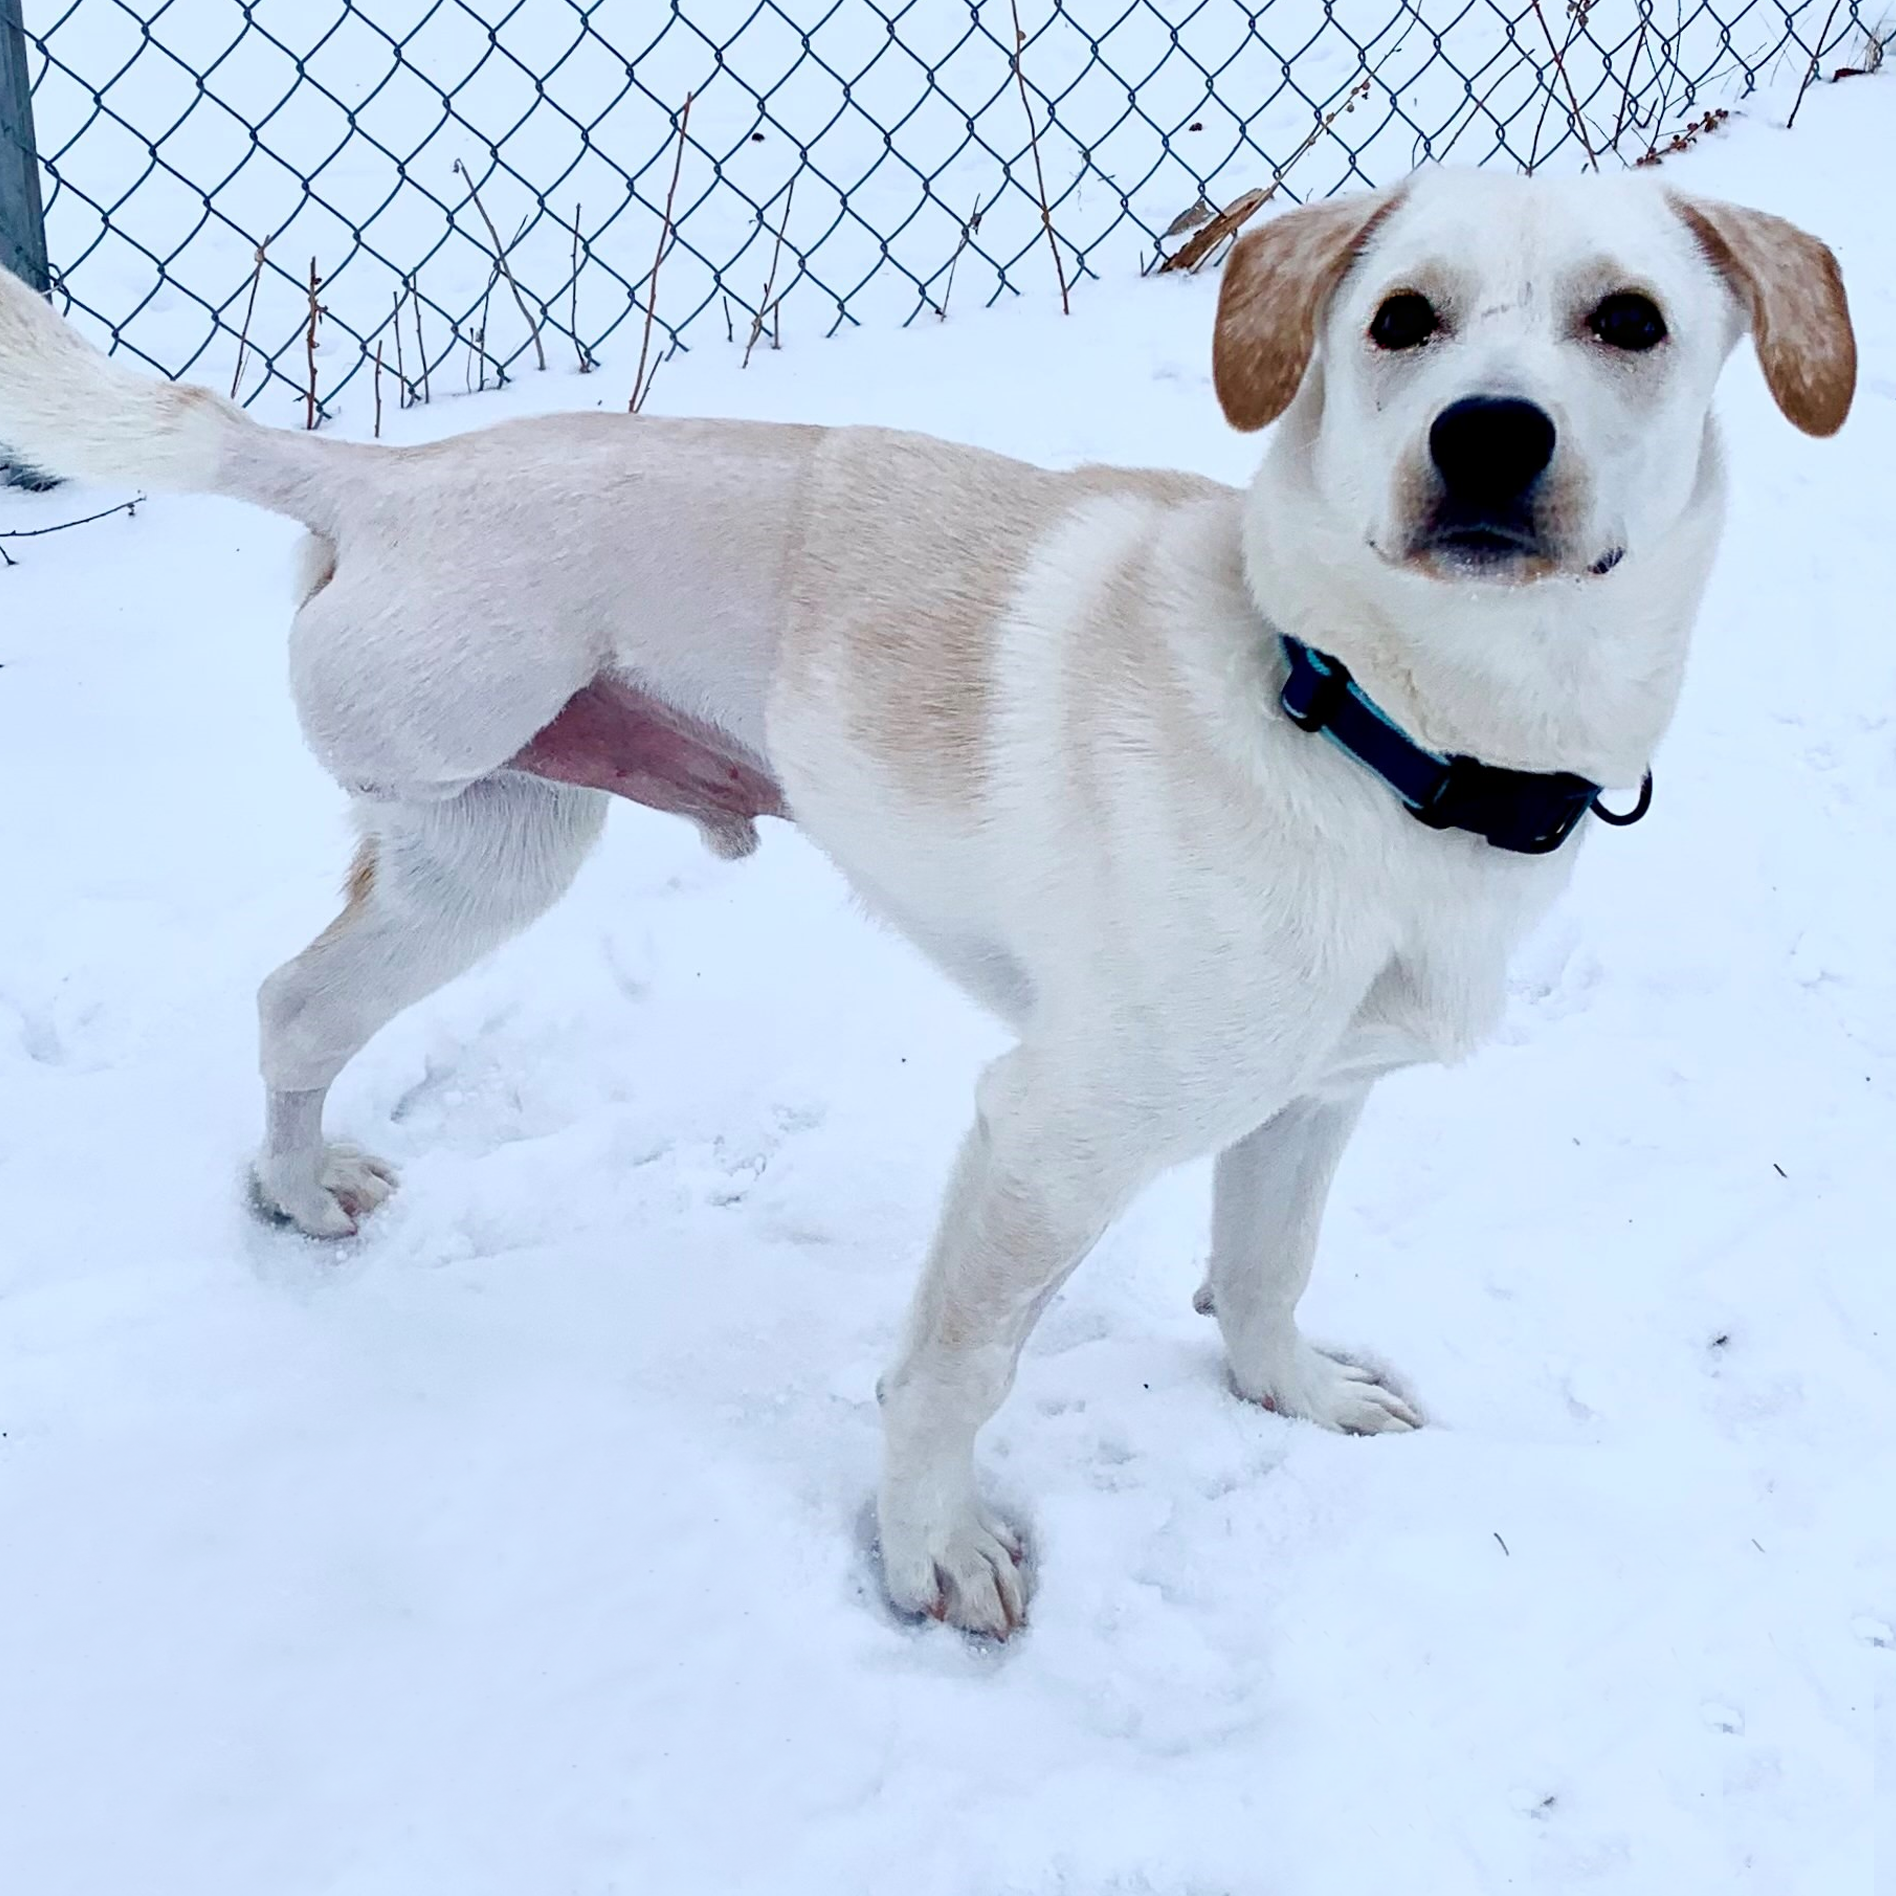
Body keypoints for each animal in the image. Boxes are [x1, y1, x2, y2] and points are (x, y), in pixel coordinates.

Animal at [0, 167, 1854, 1634]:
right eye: (1402, 320)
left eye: (1627, 321)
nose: (1486, 436)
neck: (1364, 716)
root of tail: (380, 477)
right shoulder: (1051, 1132)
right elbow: (957, 1366)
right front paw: (928, 1557)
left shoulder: (1312, 1101)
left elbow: (1264, 1271)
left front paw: (1291, 1397)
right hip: (482, 849)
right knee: (294, 1006)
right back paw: (297, 1190)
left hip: (489, 846)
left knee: (299, 997)